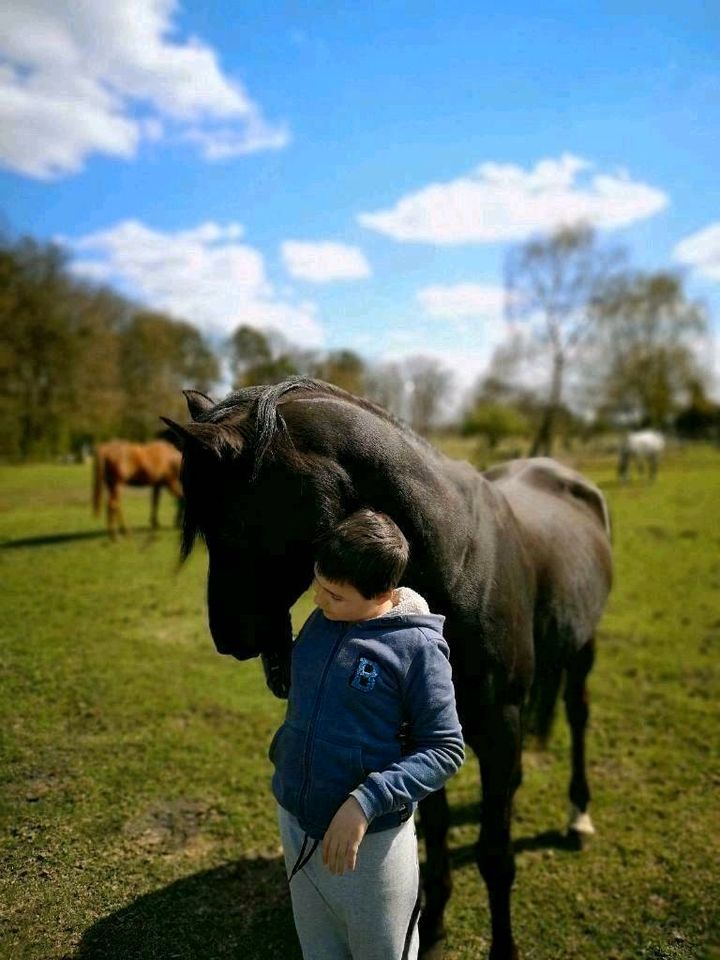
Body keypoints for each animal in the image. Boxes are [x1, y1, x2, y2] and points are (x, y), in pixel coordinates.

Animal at [165, 378, 612, 960]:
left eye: (231, 522)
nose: (228, 639)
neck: (462, 567)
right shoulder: (427, 730)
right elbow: (437, 827)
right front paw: (435, 921)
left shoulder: (500, 724)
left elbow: (495, 855)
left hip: (583, 649)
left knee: (578, 717)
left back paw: (579, 814)